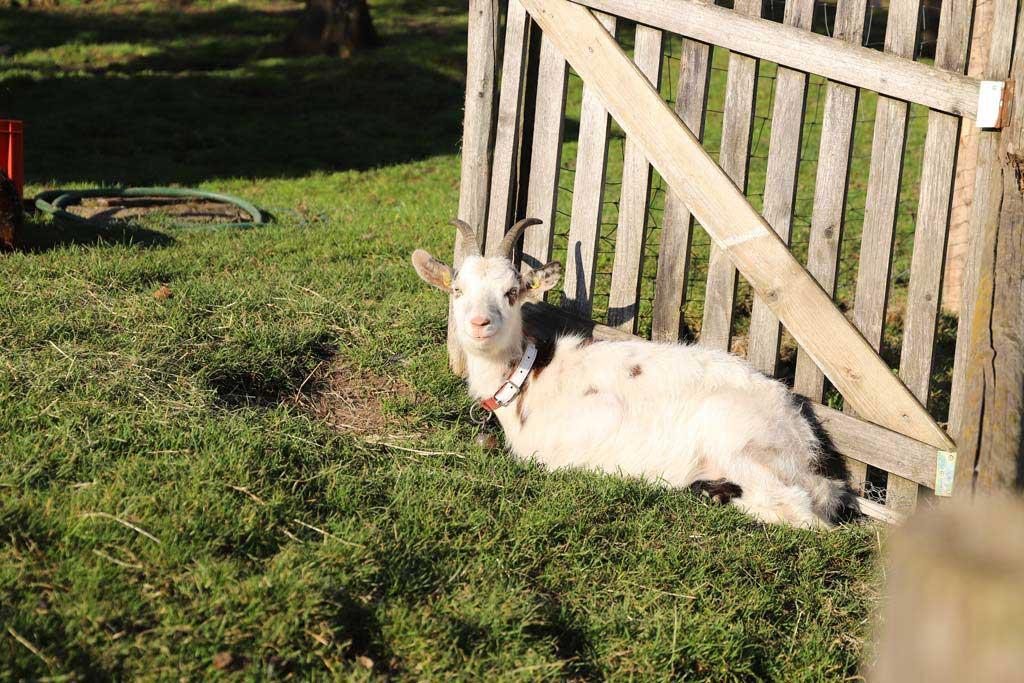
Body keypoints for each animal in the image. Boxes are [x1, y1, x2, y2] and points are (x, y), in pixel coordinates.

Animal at [411, 219, 851, 528]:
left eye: (512, 292)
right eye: (457, 290)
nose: (479, 323)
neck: (527, 377)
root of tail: (804, 441)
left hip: (740, 443)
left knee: (802, 514)